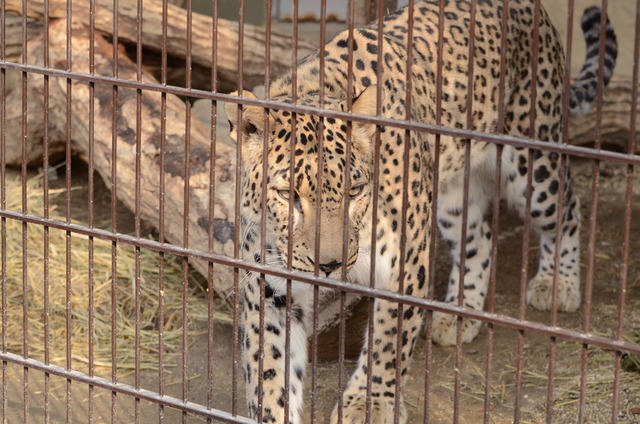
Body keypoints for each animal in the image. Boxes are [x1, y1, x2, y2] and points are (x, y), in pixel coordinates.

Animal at [224, 1, 616, 422]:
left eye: (355, 190)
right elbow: (268, 368)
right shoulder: (266, 285)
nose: (328, 266)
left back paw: (558, 285)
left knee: (568, 209)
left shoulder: (405, 261)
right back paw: (458, 313)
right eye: (288, 195)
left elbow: (388, 340)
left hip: (533, 165)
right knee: (480, 238)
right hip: (451, 196)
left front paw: (369, 403)